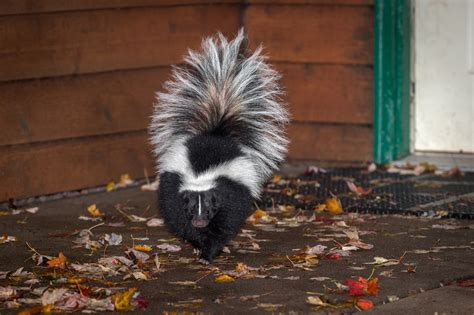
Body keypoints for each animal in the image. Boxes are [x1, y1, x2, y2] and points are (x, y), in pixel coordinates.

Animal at [150, 29, 288, 262]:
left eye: (208, 209)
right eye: (191, 208)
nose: (200, 222)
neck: (201, 174)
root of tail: (216, 132)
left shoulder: (231, 194)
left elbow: (224, 225)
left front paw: (209, 251)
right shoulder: (174, 190)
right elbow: (179, 220)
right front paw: (198, 243)